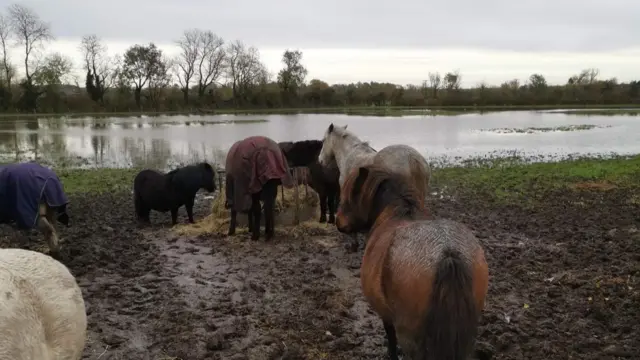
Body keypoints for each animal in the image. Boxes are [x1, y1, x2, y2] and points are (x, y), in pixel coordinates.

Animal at [336, 164, 490, 360]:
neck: (397, 212)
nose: (337, 221)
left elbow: (391, 338)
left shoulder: (386, 315)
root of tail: (448, 253)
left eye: (348, 194)